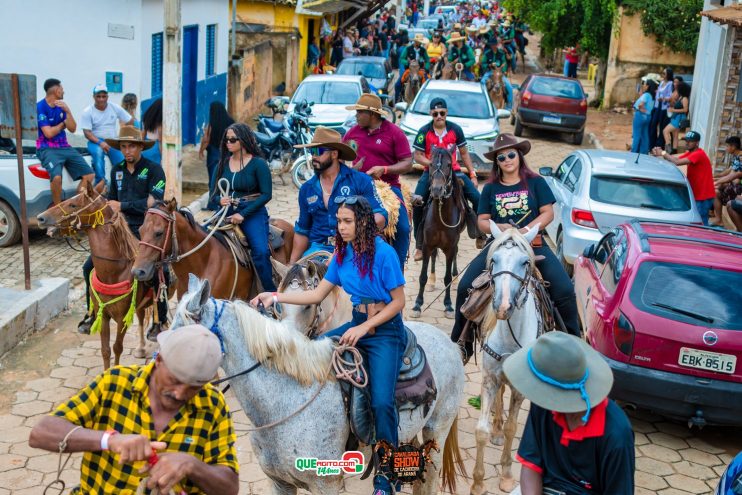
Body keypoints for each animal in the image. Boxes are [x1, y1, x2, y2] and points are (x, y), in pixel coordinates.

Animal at [37, 181, 155, 368]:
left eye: (73, 204)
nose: (40, 218)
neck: (114, 272)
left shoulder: (122, 318)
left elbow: (117, 347)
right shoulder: (103, 314)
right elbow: (105, 350)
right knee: (142, 316)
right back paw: (141, 347)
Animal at [412, 145, 464, 320]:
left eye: (449, 164)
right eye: (431, 164)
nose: (436, 190)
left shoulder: (450, 248)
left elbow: (447, 277)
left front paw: (448, 305)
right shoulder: (427, 245)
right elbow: (422, 276)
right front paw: (417, 304)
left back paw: (455, 278)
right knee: (434, 257)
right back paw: (432, 282)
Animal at [470, 223, 548, 494]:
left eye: (525, 262)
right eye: (494, 259)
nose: (502, 307)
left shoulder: (519, 389)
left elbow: (513, 428)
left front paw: (505, 475)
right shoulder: (489, 379)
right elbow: (481, 431)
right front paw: (478, 482)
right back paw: (496, 428)